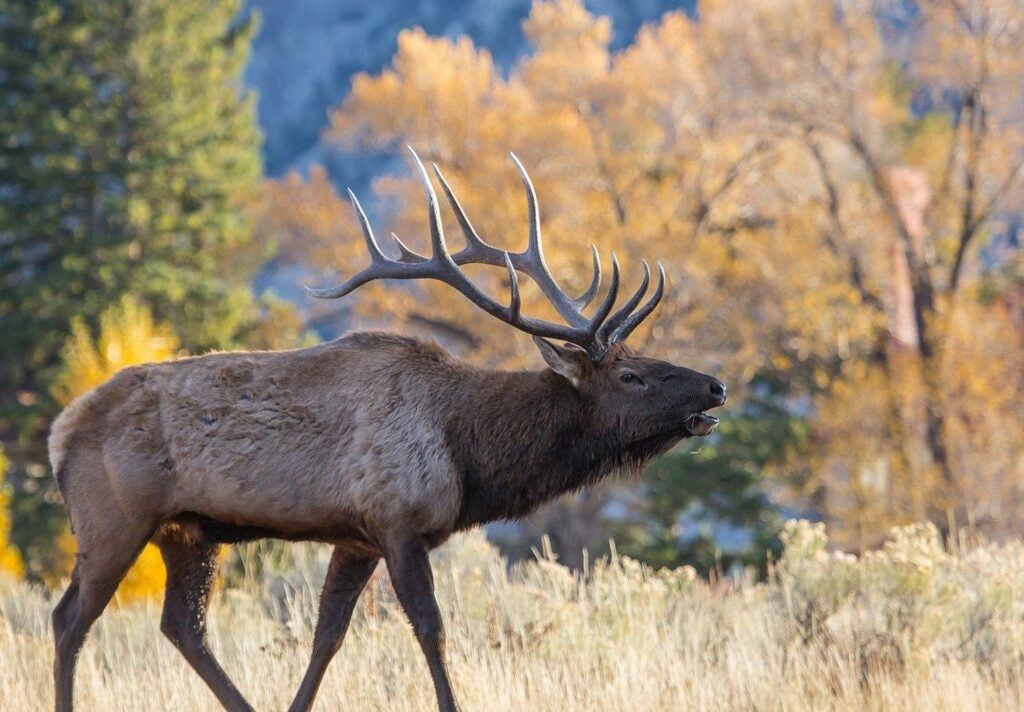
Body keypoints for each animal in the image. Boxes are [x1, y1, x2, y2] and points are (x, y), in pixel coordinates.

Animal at [47, 148, 726, 712]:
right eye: (633, 376)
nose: (716, 386)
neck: (468, 452)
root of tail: (58, 432)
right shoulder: (399, 521)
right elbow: (432, 630)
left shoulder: (357, 537)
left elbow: (327, 635)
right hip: (114, 519)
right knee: (69, 619)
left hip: (188, 530)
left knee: (182, 626)